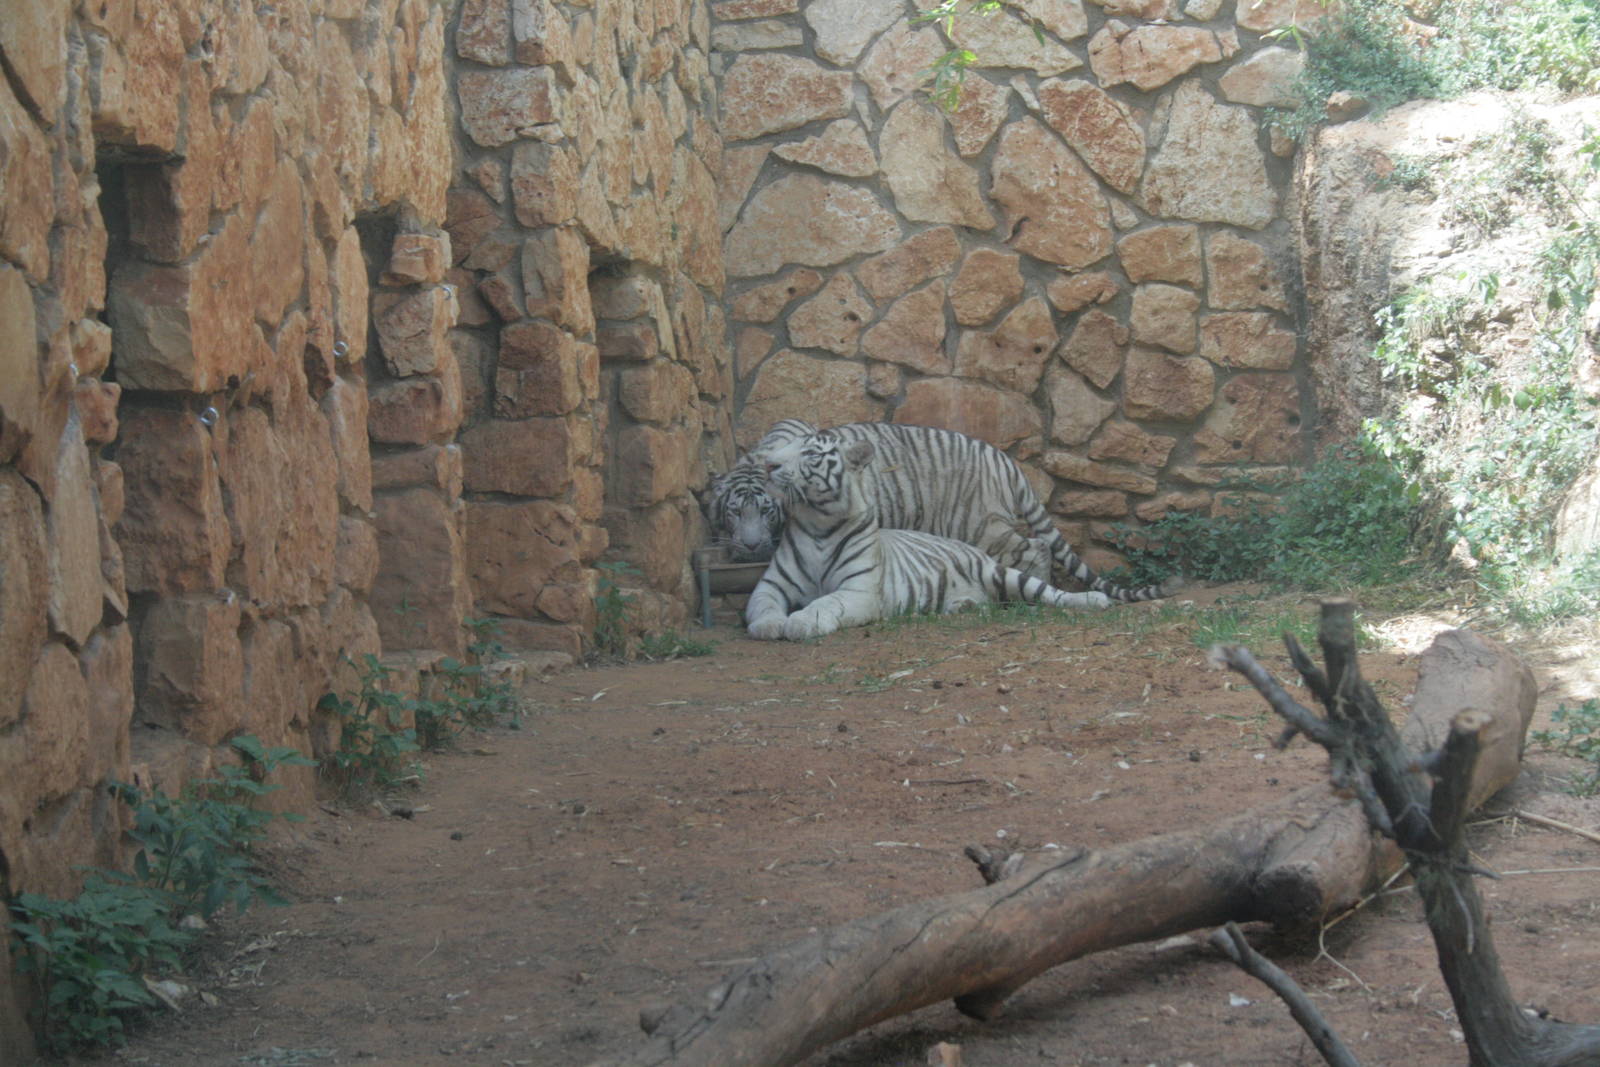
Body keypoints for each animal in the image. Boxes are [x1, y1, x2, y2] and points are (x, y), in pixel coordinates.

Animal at [706, 419, 1177, 603]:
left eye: (766, 511)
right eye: (734, 513)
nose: (750, 546)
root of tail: (1003, 458)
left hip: (979, 523)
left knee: (1036, 549)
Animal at [745, 431, 1114, 641]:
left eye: (810, 454)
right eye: (783, 448)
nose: (769, 465)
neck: (817, 522)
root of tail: (1004, 458)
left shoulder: (859, 591)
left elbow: (826, 601)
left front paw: (800, 621)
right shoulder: (771, 585)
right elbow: (763, 605)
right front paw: (769, 625)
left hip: (989, 543)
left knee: (1045, 577)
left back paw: (1090, 600)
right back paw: (963, 604)